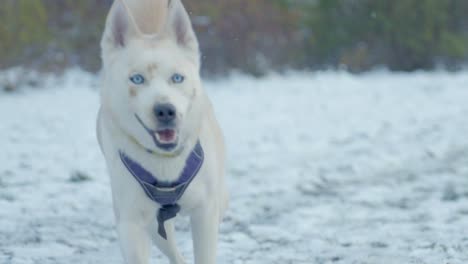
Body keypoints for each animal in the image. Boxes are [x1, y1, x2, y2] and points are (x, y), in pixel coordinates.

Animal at [96, 0, 228, 262]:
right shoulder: (131, 222)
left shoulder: (206, 212)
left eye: (177, 78)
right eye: (137, 79)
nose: (165, 110)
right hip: (155, 226)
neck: (165, 163)